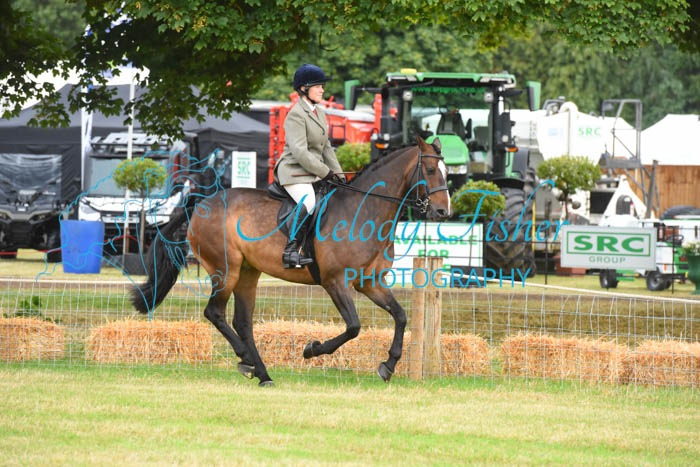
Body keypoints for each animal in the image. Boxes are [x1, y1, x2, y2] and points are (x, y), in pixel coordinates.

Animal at [130, 136, 451, 386]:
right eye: (430, 170)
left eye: (447, 172)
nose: (443, 212)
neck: (364, 210)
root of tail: (202, 202)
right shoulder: (335, 282)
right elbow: (353, 327)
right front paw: (312, 349)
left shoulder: (369, 283)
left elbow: (400, 316)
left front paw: (388, 366)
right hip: (226, 270)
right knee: (215, 313)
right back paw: (246, 360)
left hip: (248, 273)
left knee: (242, 321)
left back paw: (261, 373)